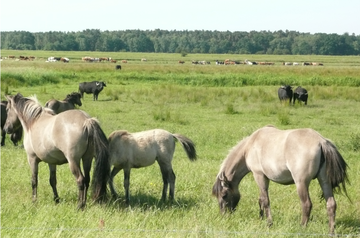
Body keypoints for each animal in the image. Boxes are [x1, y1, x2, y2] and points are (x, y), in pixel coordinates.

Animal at [212, 125, 348, 235]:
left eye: (224, 195)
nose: (223, 215)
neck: (250, 145)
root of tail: (321, 141)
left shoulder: (259, 175)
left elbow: (265, 200)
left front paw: (269, 223)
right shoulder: (264, 178)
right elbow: (261, 200)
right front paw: (261, 218)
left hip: (301, 183)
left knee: (306, 204)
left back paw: (302, 228)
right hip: (324, 181)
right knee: (331, 204)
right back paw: (331, 232)